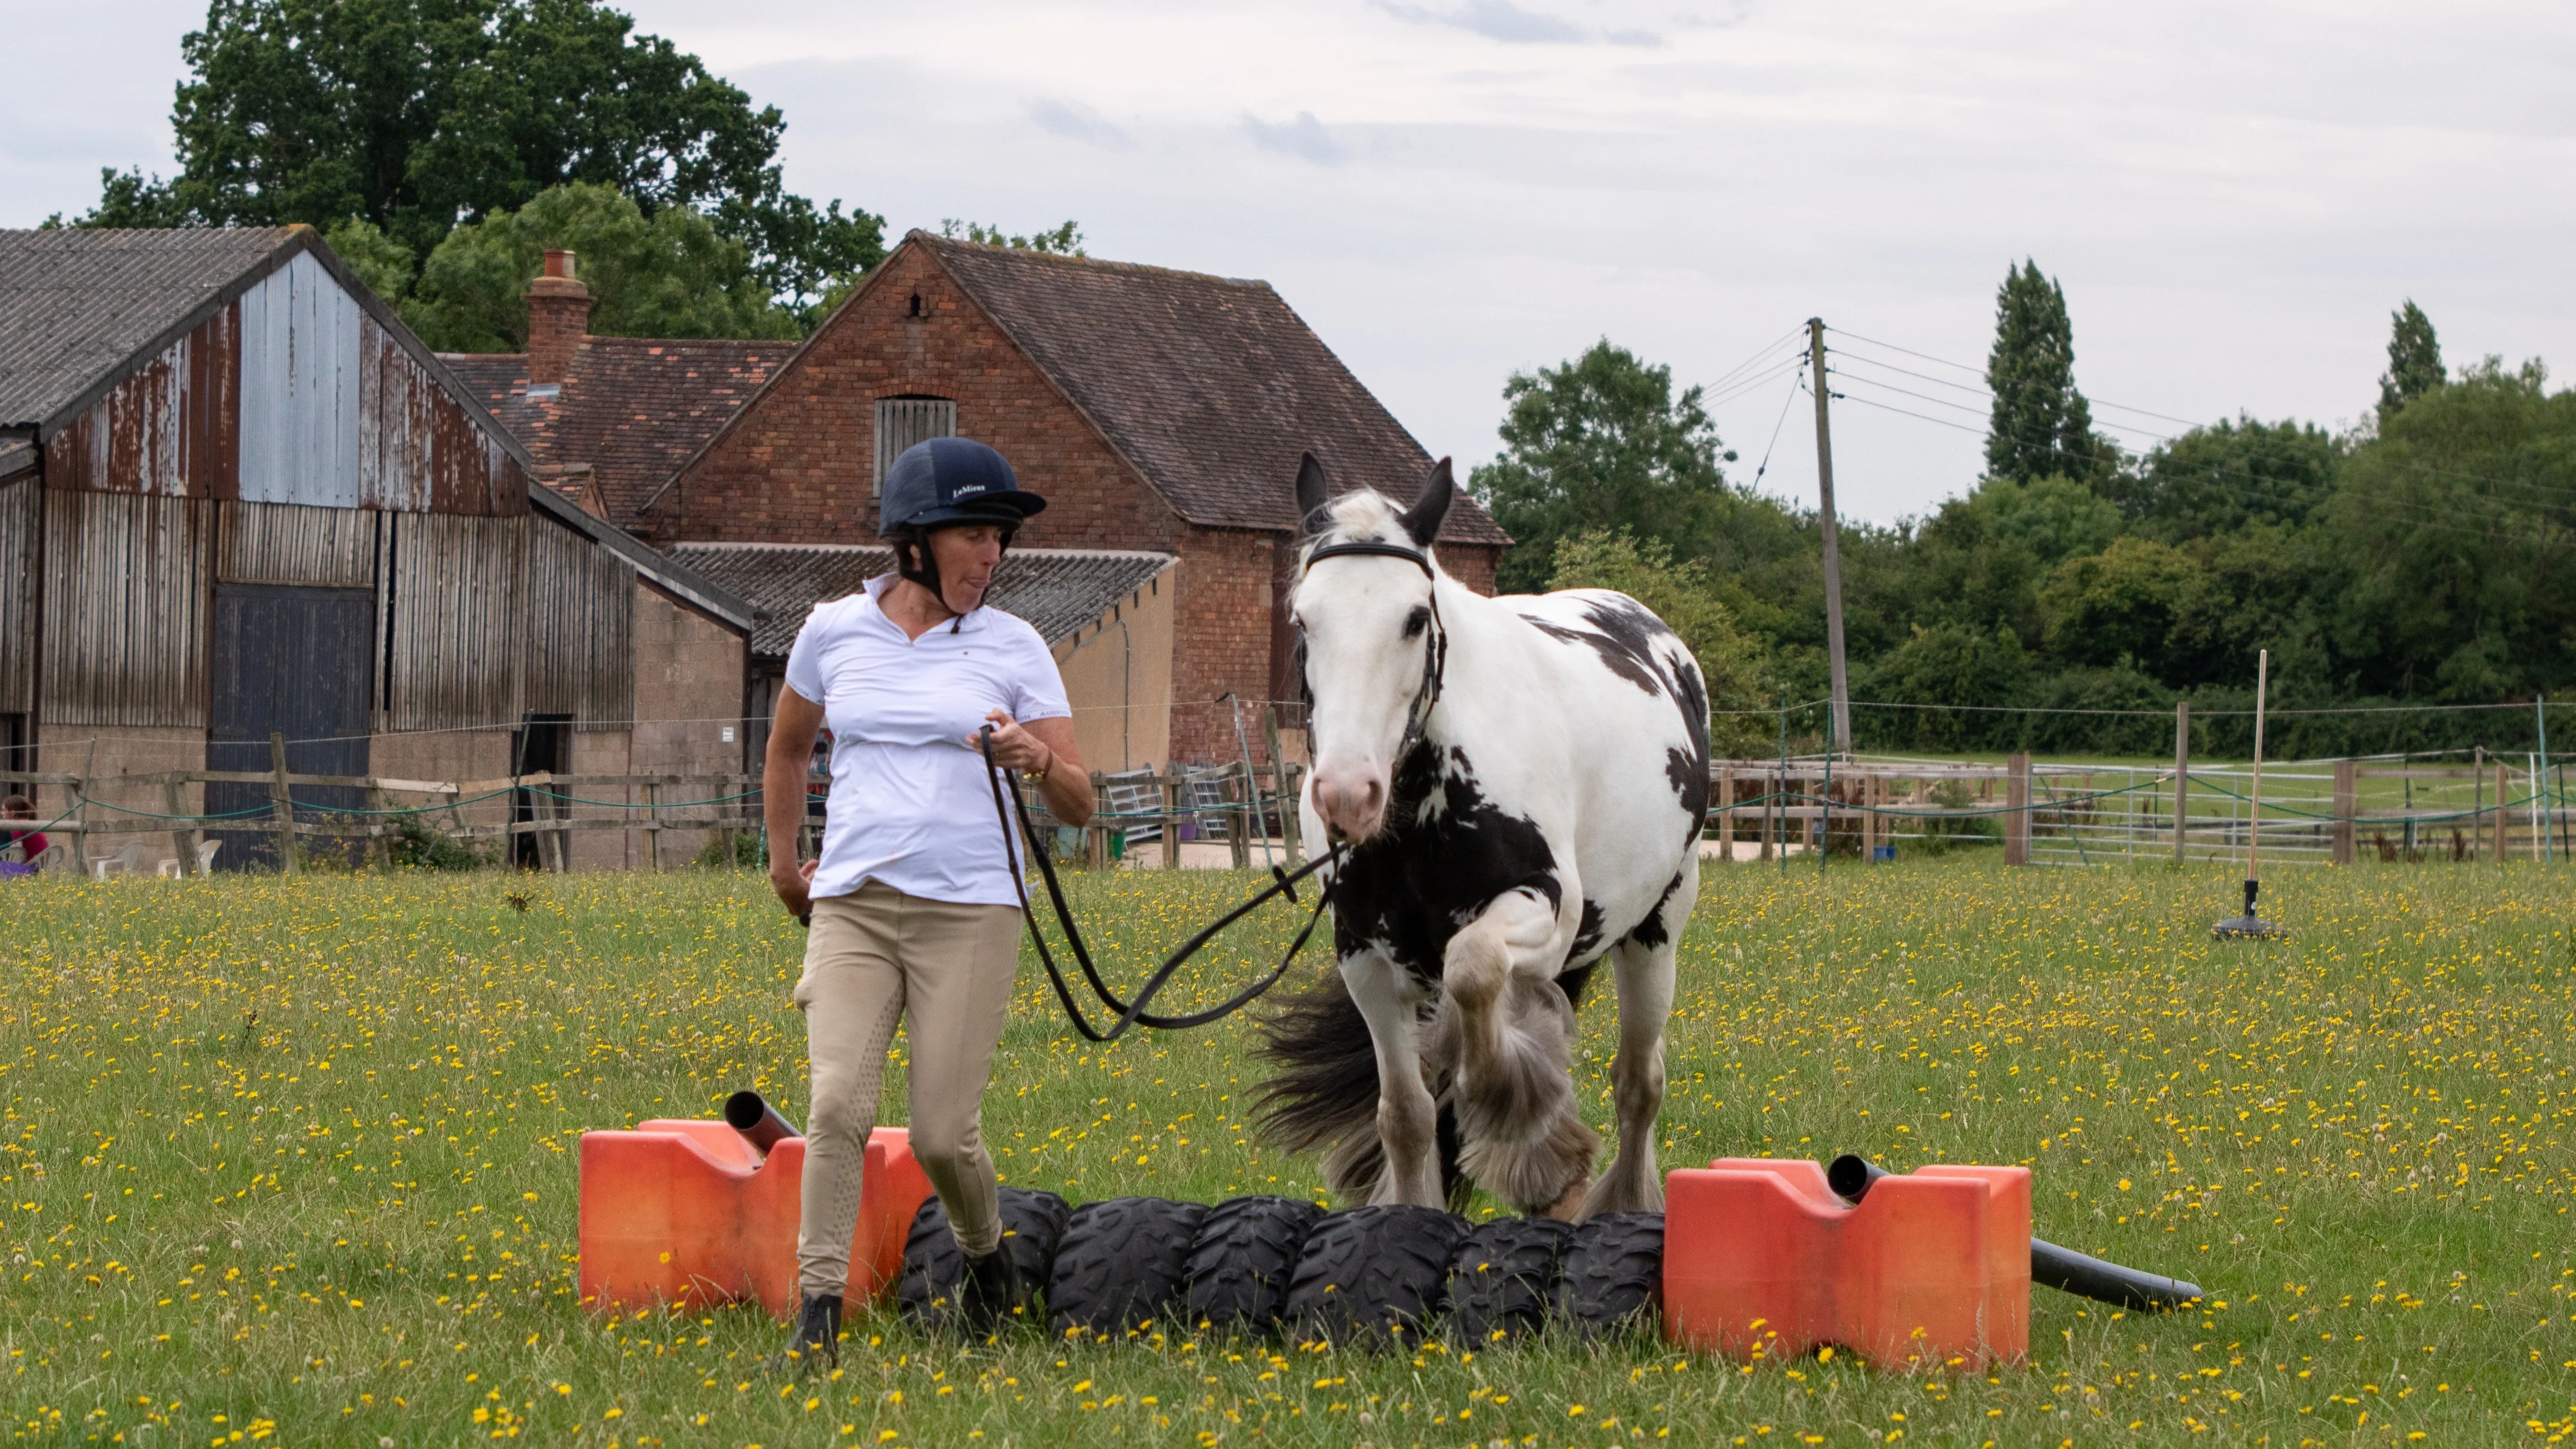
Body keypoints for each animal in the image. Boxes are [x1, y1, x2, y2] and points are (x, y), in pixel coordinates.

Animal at [1256, 453, 1708, 1220]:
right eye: (1302, 619)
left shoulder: (1541, 908)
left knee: (1637, 1084)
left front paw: (1522, 1124)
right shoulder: (1363, 956)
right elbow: (1406, 1116)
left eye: (1413, 618)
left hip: (1656, 931)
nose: (1346, 792)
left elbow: (1470, 968)